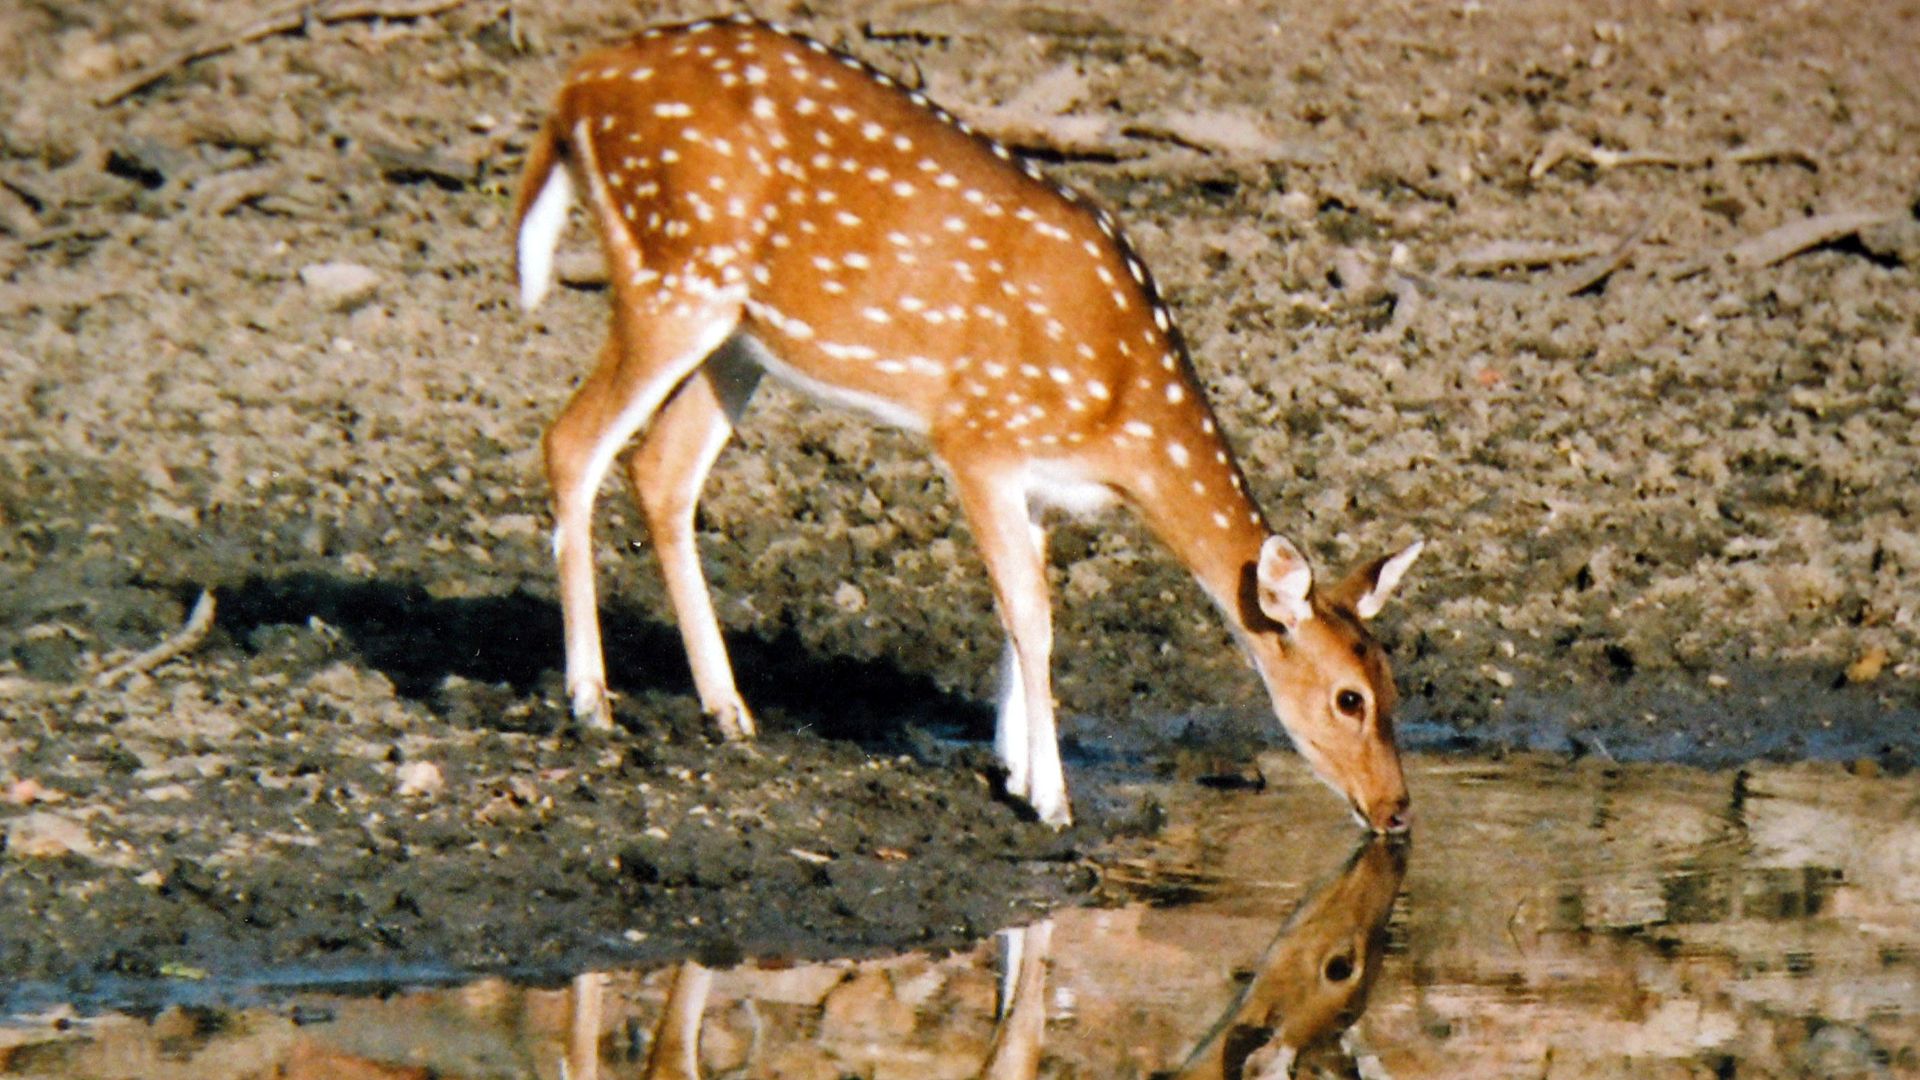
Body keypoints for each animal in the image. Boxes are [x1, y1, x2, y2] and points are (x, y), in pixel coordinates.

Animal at [512, 14, 1424, 832]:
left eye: (1396, 684)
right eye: (1348, 697)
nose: (1396, 809)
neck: (1122, 419)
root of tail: (577, 83)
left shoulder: (1039, 482)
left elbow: (1022, 611)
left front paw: (1014, 768)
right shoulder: (977, 433)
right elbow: (1031, 615)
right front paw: (1052, 802)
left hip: (738, 338)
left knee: (662, 470)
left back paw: (727, 711)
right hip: (673, 275)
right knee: (571, 442)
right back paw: (592, 701)